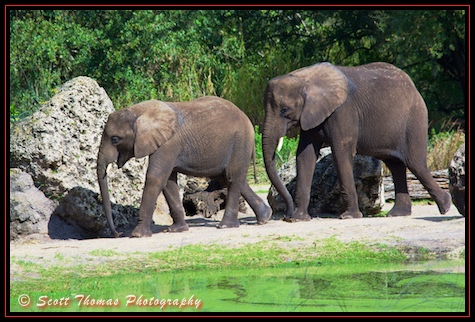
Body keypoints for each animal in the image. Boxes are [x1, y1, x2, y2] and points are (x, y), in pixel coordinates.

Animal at [96, 95, 272, 236]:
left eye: (115, 139)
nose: (117, 233)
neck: (139, 110)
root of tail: (247, 118)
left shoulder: (168, 144)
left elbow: (155, 177)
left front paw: (137, 235)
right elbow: (168, 182)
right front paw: (176, 230)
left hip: (240, 141)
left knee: (232, 178)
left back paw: (226, 226)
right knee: (231, 178)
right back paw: (265, 217)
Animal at [262, 61, 452, 221]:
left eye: (284, 110)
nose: (285, 215)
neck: (304, 78)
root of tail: (414, 87)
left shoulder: (343, 112)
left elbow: (341, 153)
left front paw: (349, 217)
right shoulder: (310, 115)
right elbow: (305, 155)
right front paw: (298, 219)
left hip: (415, 118)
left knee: (415, 163)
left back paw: (447, 206)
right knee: (395, 165)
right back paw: (398, 214)